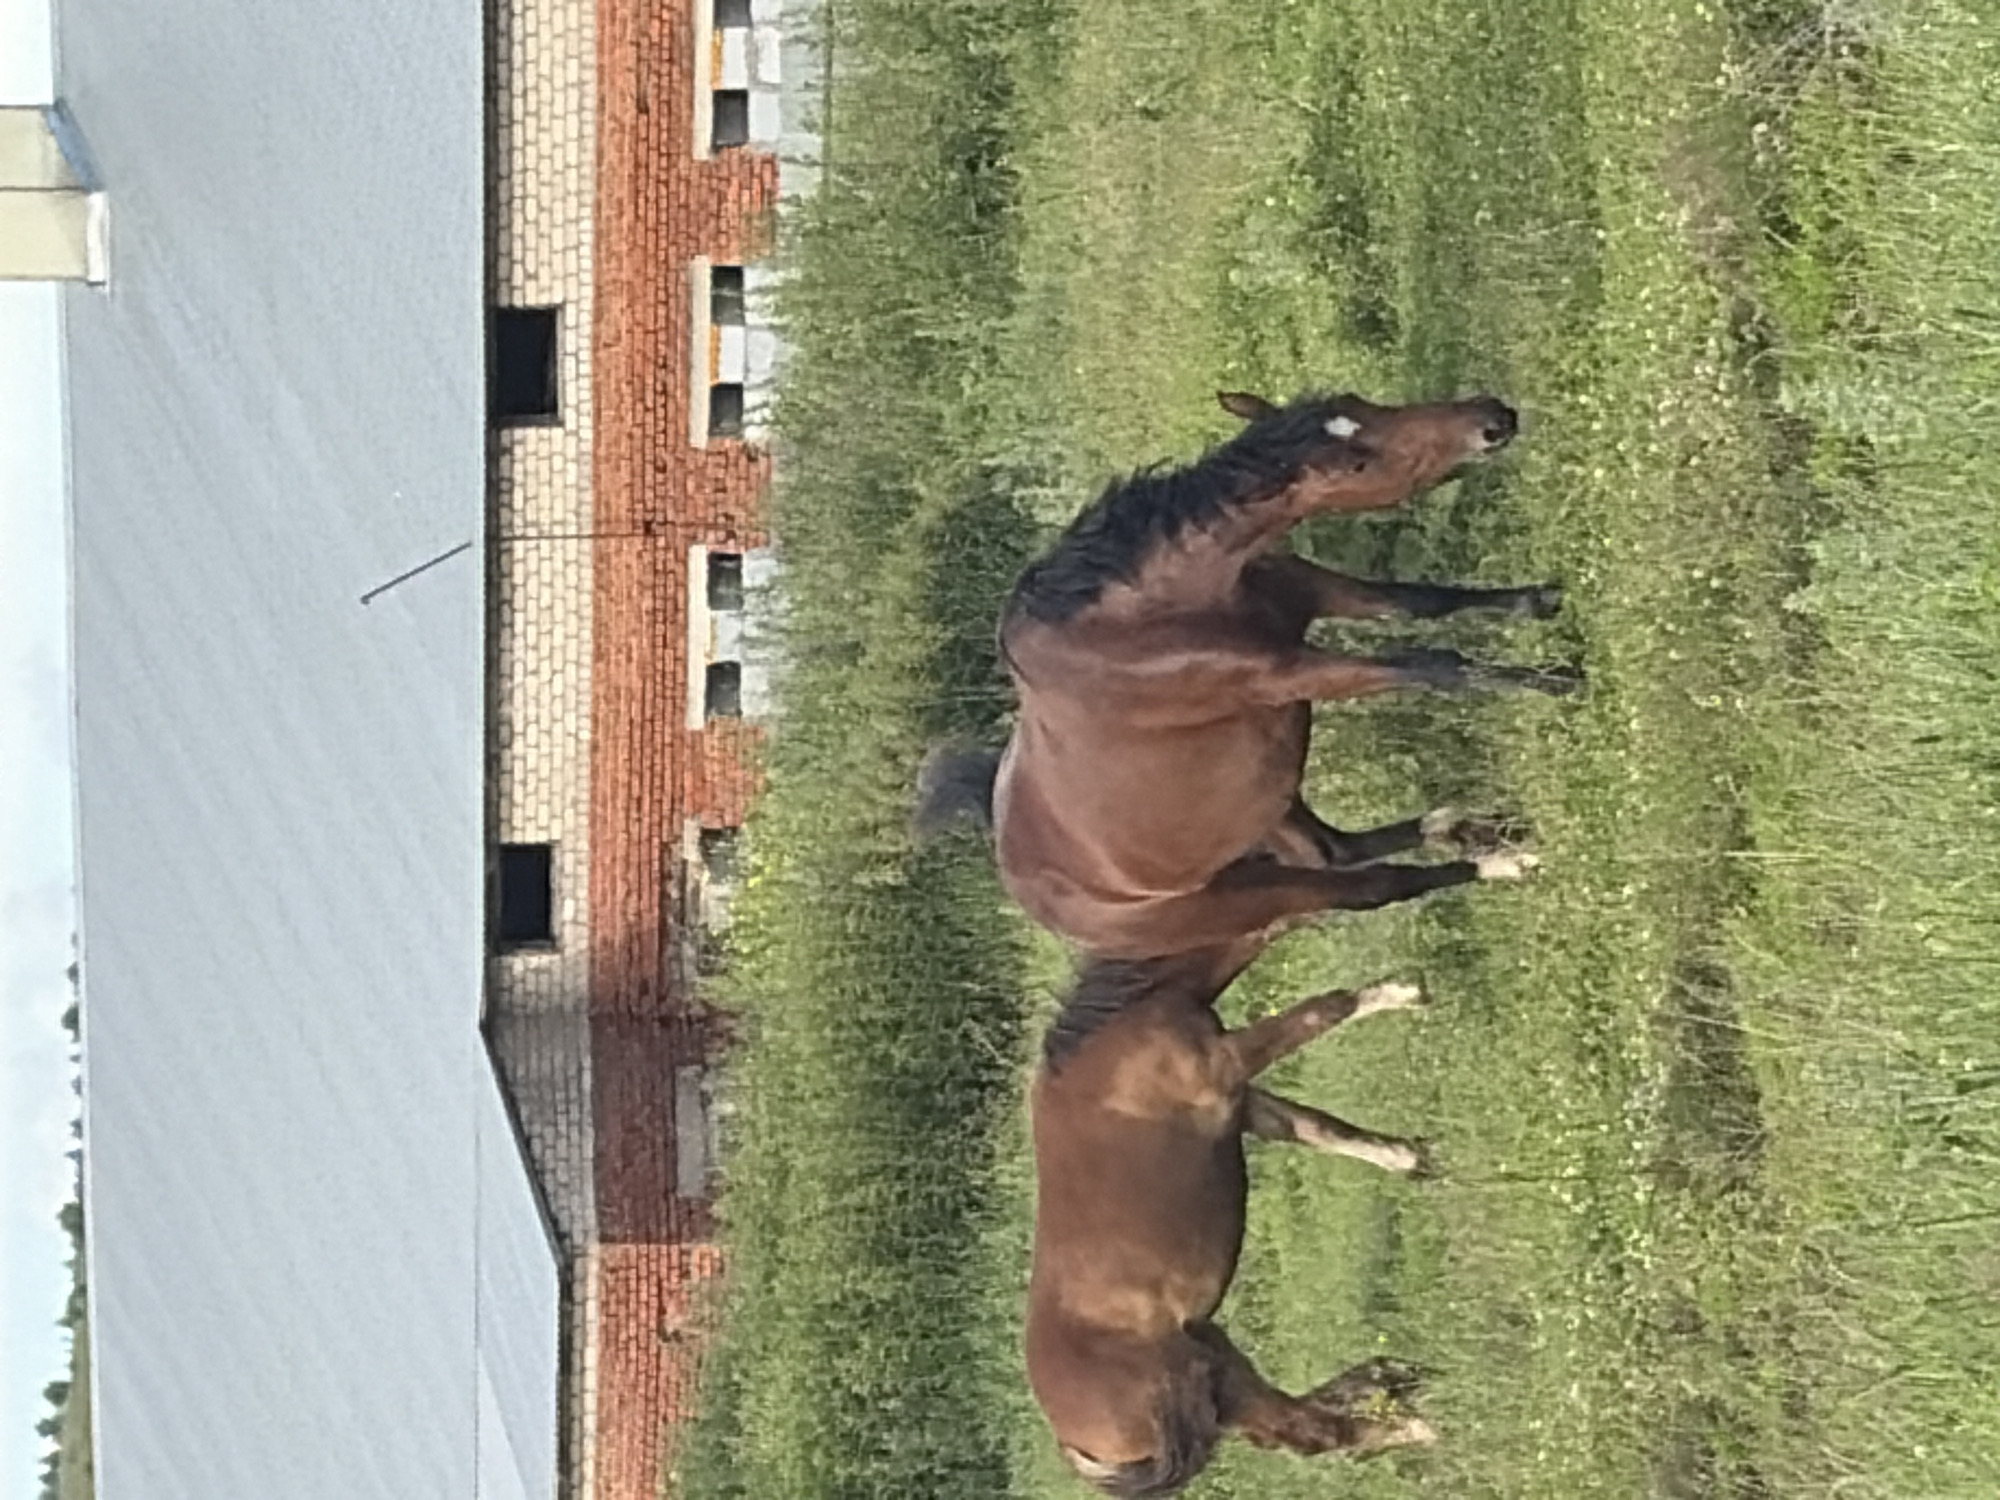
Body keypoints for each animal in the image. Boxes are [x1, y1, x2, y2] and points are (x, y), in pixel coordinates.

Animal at [916, 388, 1575, 959]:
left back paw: (1471, 825)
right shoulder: (1294, 675)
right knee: (1373, 884)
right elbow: (1435, 665)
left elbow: (1425, 601)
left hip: (1269, 804)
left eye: (1357, 403)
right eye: (1358, 463)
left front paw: (1537, 601)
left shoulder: (1317, 592)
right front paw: (1554, 680)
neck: (1139, 618)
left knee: (1336, 849)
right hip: (1258, 892)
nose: (1491, 418)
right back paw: (1502, 862)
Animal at [1027, 933, 1441, 1496]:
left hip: (1220, 1368)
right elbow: (1325, 1009)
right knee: (1312, 1432)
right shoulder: (1228, 1064)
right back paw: (1417, 1425)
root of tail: (1076, 1443)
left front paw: (1409, 1159)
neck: (1115, 1037)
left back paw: (1388, 1380)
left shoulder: (1244, 1104)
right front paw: (1404, 991)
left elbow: (1324, 1128)